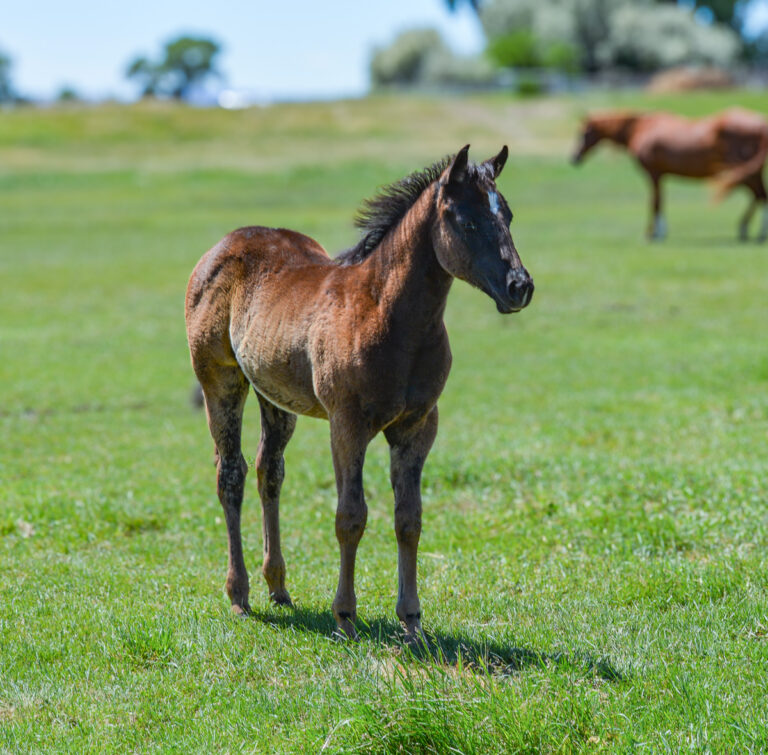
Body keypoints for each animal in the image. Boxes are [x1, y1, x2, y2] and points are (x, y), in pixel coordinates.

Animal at [186, 145, 536, 640]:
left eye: (506, 214)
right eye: (467, 222)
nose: (519, 286)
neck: (389, 316)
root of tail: (224, 244)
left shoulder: (417, 426)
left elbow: (409, 519)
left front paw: (412, 620)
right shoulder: (347, 424)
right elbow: (350, 516)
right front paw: (346, 617)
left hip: (274, 395)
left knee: (269, 470)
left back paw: (279, 587)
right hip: (220, 379)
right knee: (230, 473)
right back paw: (240, 594)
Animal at [568, 107, 768, 239]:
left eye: (582, 133)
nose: (574, 157)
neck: (642, 128)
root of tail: (761, 125)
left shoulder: (653, 173)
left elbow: (655, 202)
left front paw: (654, 233)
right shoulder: (661, 175)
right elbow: (660, 201)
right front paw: (659, 231)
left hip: (745, 173)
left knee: (760, 196)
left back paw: (751, 231)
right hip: (746, 173)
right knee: (759, 197)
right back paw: (746, 229)